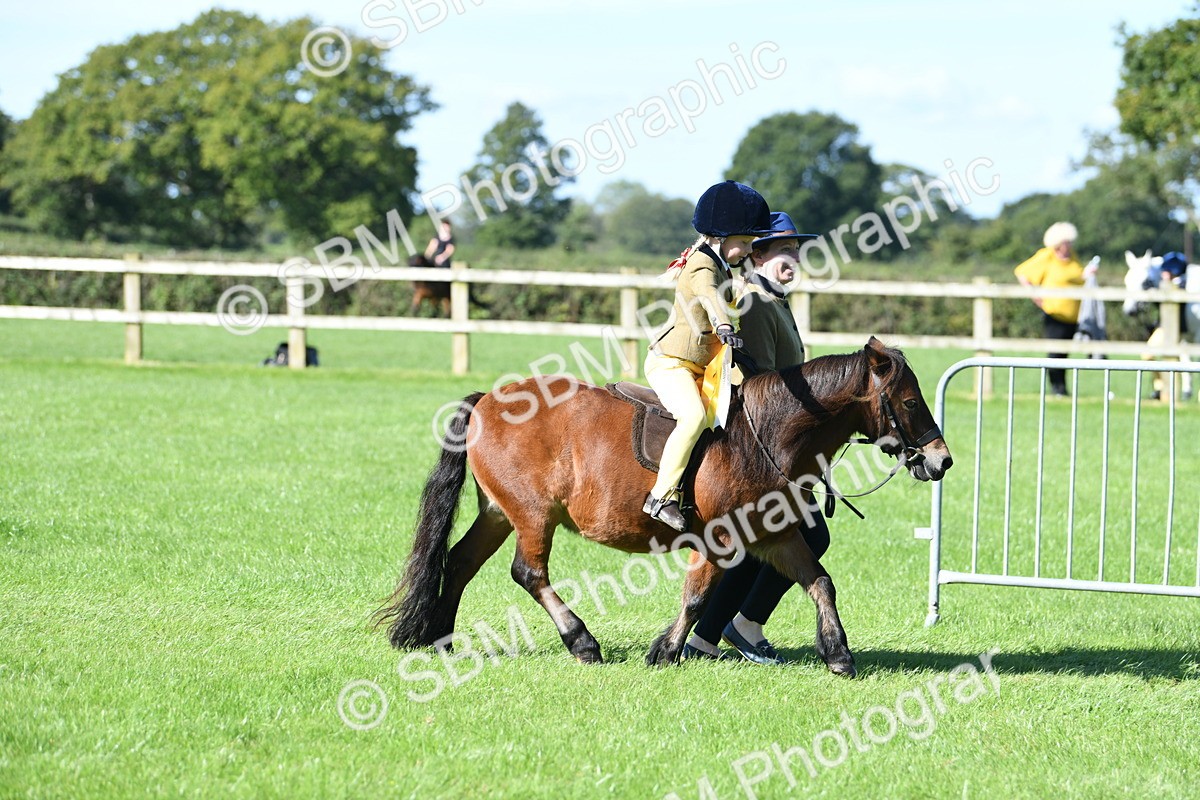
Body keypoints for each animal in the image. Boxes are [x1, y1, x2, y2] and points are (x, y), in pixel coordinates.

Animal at [374, 337, 953, 676]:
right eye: (908, 402)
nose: (942, 460)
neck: (767, 432)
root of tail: (488, 401)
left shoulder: (774, 535)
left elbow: (820, 582)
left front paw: (839, 654)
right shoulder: (722, 538)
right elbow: (697, 596)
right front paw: (666, 651)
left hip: (499, 512)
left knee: (459, 562)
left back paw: (441, 641)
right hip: (534, 515)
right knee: (528, 573)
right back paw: (581, 641)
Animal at [1122, 249, 1200, 400]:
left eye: (1145, 282)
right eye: (1127, 281)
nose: (1129, 311)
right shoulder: (1183, 336)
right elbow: (1184, 360)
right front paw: (1185, 392)